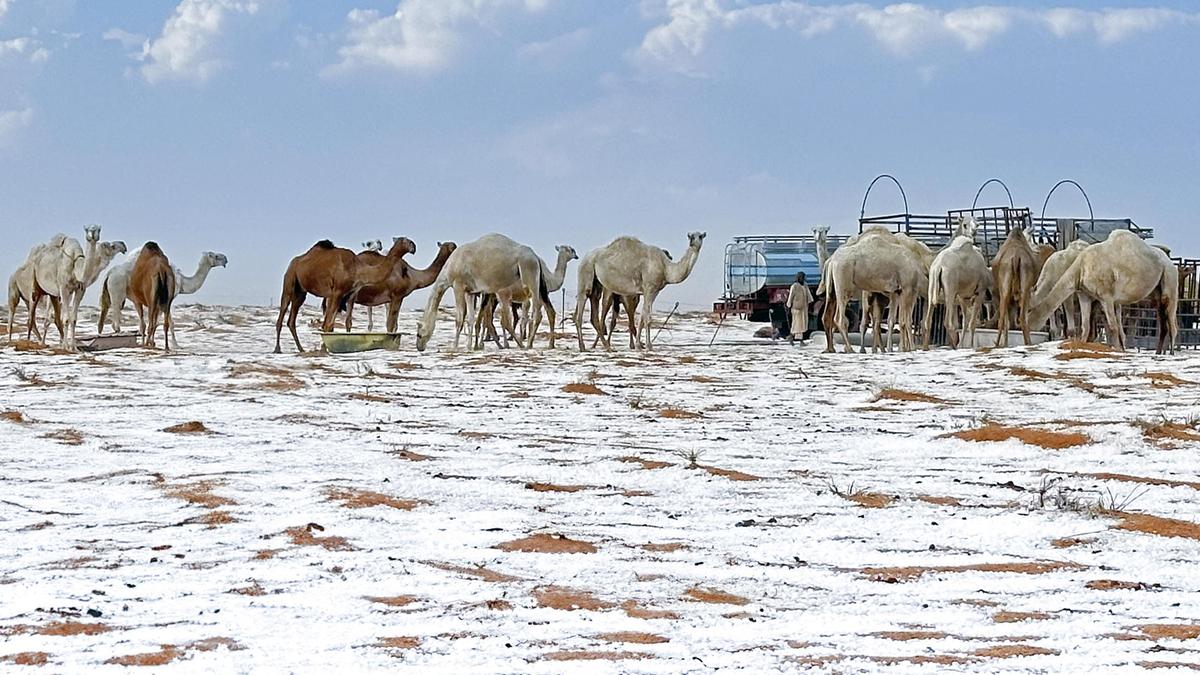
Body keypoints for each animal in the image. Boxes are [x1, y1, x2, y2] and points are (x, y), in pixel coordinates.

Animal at [274, 236, 415, 353]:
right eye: (406, 241)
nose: (414, 247)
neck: (357, 268)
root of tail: (294, 262)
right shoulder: (336, 292)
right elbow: (328, 324)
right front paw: (326, 350)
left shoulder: (347, 295)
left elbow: (338, 324)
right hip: (289, 281)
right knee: (282, 313)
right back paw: (277, 349)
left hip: (301, 292)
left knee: (291, 320)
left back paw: (301, 349)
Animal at [412, 234, 544, 353]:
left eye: (418, 334)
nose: (419, 347)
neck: (449, 269)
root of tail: (535, 257)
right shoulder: (470, 291)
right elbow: (470, 318)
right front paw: (469, 346)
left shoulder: (458, 286)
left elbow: (459, 318)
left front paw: (454, 347)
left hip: (529, 273)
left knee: (535, 312)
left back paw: (526, 344)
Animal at [571, 229, 700, 348]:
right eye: (691, 236)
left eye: (701, 236)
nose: (693, 242)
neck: (665, 267)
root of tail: (584, 258)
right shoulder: (647, 289)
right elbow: (646, 318)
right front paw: (647, 345)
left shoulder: (652, 291)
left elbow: (642, 317)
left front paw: (639, 344)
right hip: (586, 273)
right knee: (585, 309)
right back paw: (584, 346)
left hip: (596, 284)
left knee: (596, 313)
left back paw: (606, 346)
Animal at [921, 214, 988, 348]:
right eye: (965, 225)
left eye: (977, 224)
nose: (974, 231)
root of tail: (938, 266)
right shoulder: (980, 292)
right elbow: (972, 324)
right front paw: (970, 346)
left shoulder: (963, 297)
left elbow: (965, 323)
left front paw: (963, 345)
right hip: (950, 289)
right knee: (947, 323)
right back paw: (954, 346)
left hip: (932, 290)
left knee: (927, 321)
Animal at [1027, 228, 1176, 348]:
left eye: (1027, 312)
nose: (1024, 328)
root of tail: (1169, 260)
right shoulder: (1084, 294)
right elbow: (1085, 326)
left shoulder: (1103, 296)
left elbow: (1110, 327)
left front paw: (1116, 350)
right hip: (1154, 292)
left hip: (1169, 277)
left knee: (1171, 324)